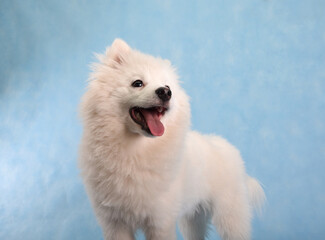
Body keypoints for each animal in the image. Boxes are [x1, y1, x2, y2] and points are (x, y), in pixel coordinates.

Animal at [78, 38, 264, 239]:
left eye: (168, 87)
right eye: (137, 83)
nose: (165, 92)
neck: (134, 150)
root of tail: (228, 147)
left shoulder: (160, 221)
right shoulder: (115, 223)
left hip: (229, 216)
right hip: (193, 218)